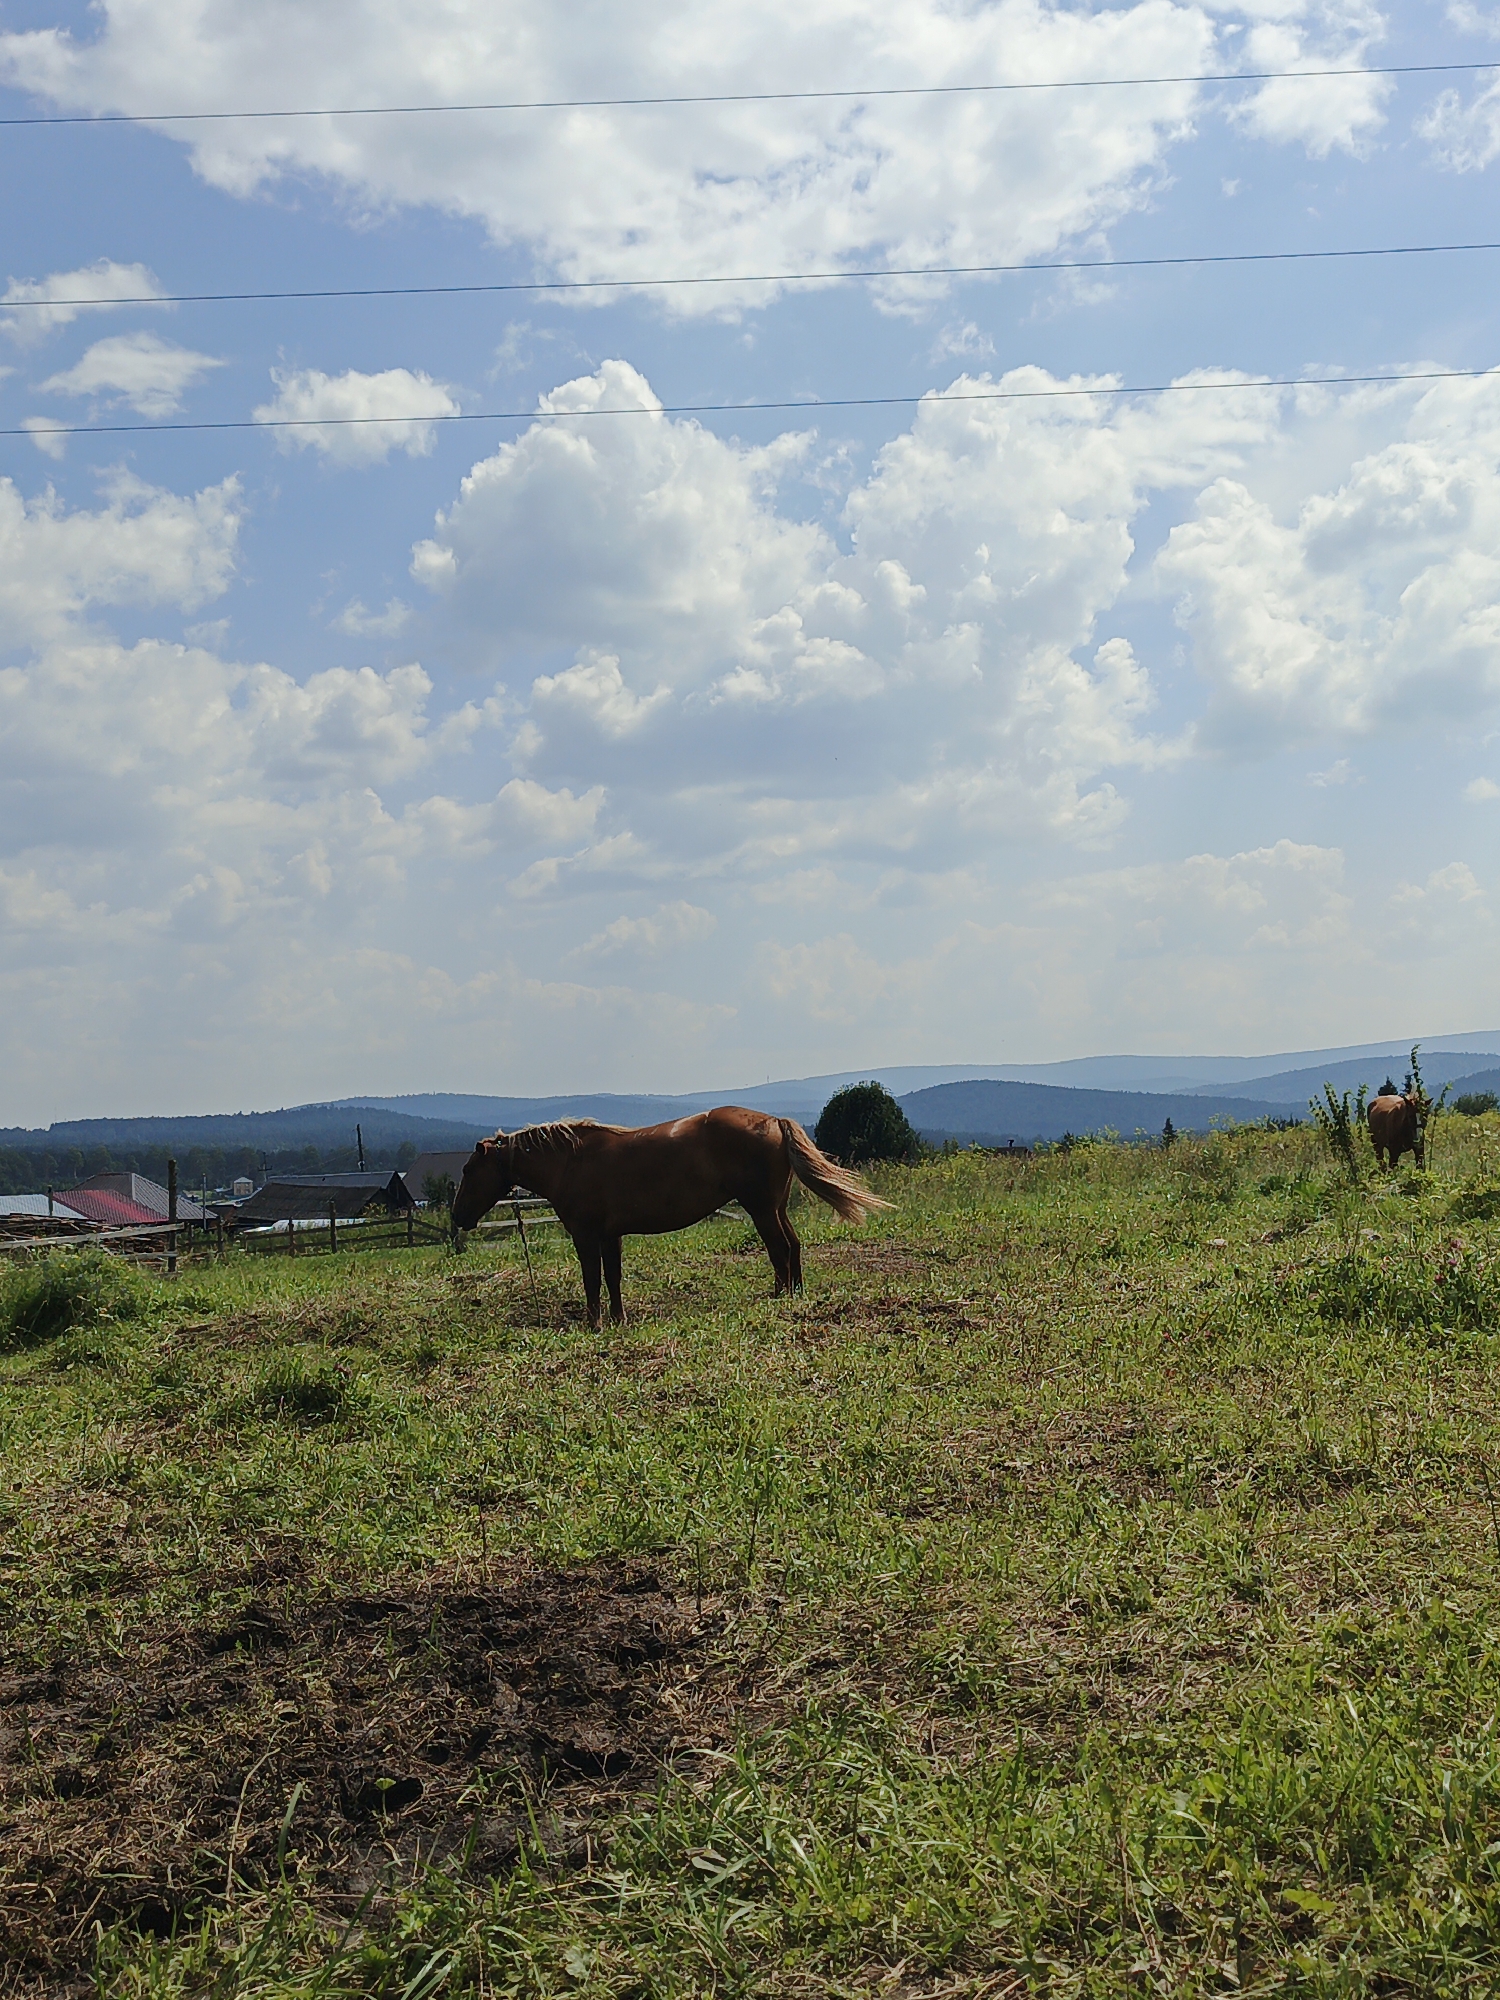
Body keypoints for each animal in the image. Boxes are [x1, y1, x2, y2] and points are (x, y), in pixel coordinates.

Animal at [451, 1106, 891, 1327]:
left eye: (469, 1170)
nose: (457, 1217)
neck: (572, 1161)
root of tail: (772, 1121)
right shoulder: (610, 1235)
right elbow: (613, 1277)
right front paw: (618, 1318)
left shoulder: (586, 1234)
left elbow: (592, 1279)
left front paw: (595, 1322)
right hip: (775, 1207)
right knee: (794, 1246)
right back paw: (794, 1293)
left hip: (761, 1209)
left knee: (780, 1250)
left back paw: (780, 1296)